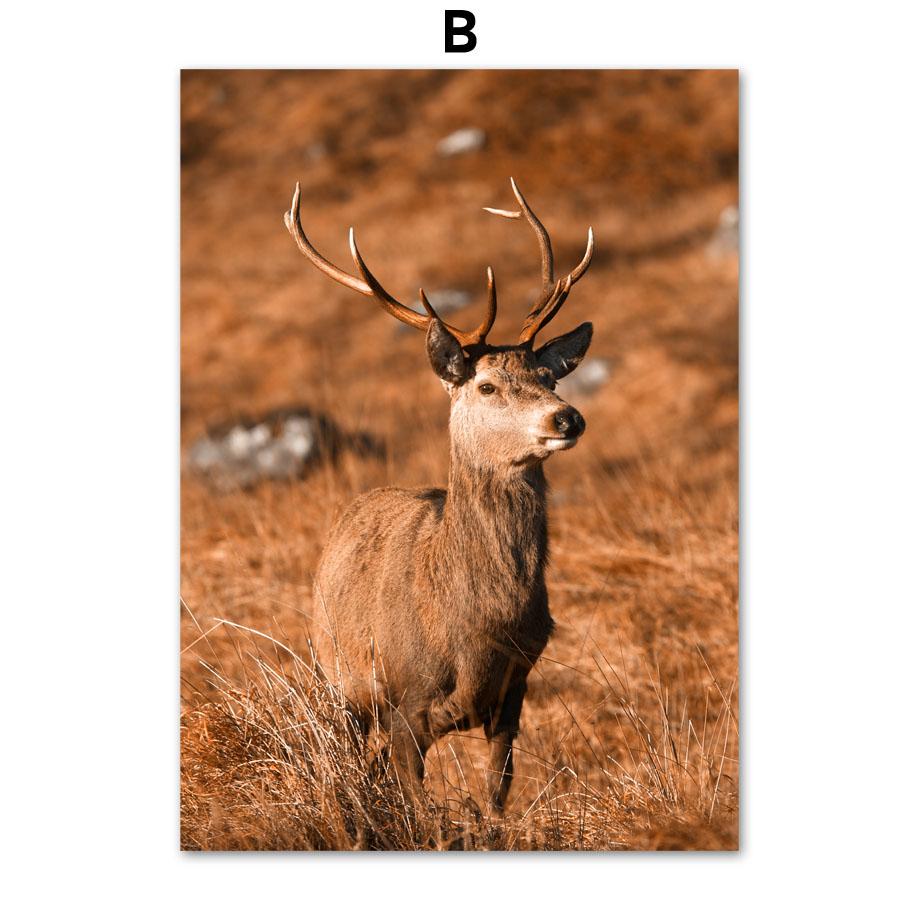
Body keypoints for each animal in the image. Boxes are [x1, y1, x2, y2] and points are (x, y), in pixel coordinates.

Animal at [283, 178, 595, 814]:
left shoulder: (515, 690)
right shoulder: (406, 702)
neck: (475, 630)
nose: (567, 416)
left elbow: (496, 796)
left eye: (550, 377)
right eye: (487, 385)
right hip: (337, 674)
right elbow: (418, 811)